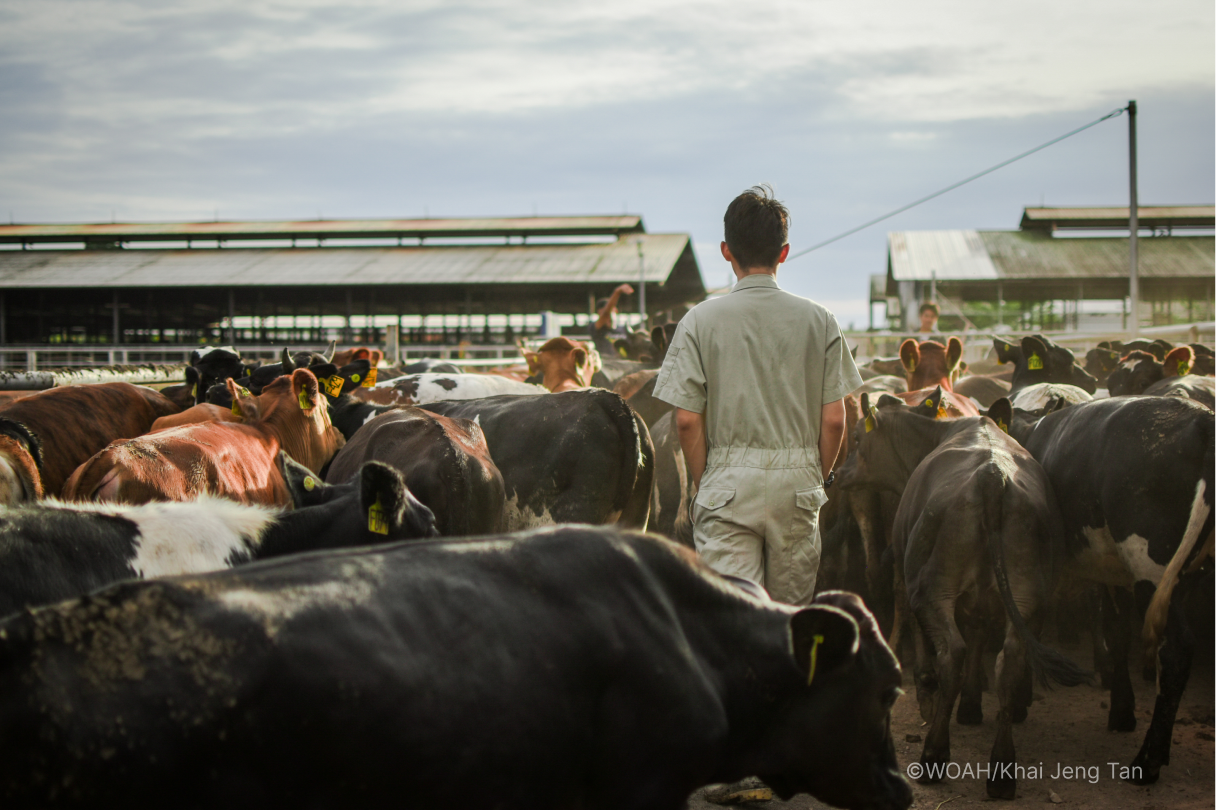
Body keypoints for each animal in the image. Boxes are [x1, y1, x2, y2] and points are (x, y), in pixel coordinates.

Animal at [841, 394, 1089, 797]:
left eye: (859, 440)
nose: (838, 475)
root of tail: (993, 477)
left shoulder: (907, 572)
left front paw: (927, 692)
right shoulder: (985, 598)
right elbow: (978, 636)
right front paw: (971, 705)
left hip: (932, 588)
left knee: (952, 652)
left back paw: (934, 755)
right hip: (1029, 598)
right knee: (1009, 660)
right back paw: (1002, 769)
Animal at [1006, 396, 1216, 783]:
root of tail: (1204, 420)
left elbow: (1030, 626)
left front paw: (1018, 702)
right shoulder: (1117, 575)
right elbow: (1118, 634)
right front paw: (1122, 710)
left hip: (1151, 564)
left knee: (1176, 651)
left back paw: (1147, 762)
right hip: (1176, 574)